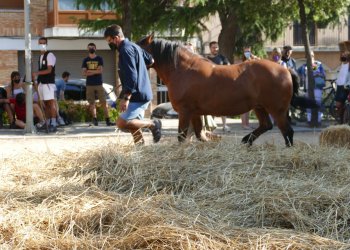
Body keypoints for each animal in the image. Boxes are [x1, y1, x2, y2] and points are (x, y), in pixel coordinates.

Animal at [139, 34, 300, 146]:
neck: (184, 70)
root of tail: (285, 70)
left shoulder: (184, 112)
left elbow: (182, 137)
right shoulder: (195, 113)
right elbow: (200, 136)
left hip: (277, 109)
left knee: (287, 131)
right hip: (260, 107)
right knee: (267, 125)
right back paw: (246, 140)